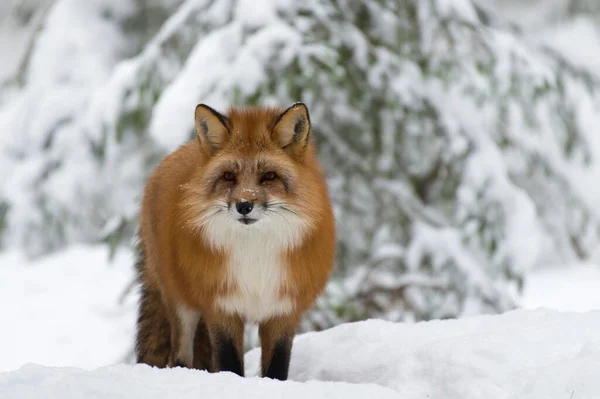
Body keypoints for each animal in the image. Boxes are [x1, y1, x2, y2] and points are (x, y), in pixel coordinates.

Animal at [133, 101, 336, 382]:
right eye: (229, 176)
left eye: (269, 176)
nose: (244, 205)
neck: (255, 255)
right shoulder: (221, 308)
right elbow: (229, 364)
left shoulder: (283, 310)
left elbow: (277, 368)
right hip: (181, 304)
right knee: (179, 356)